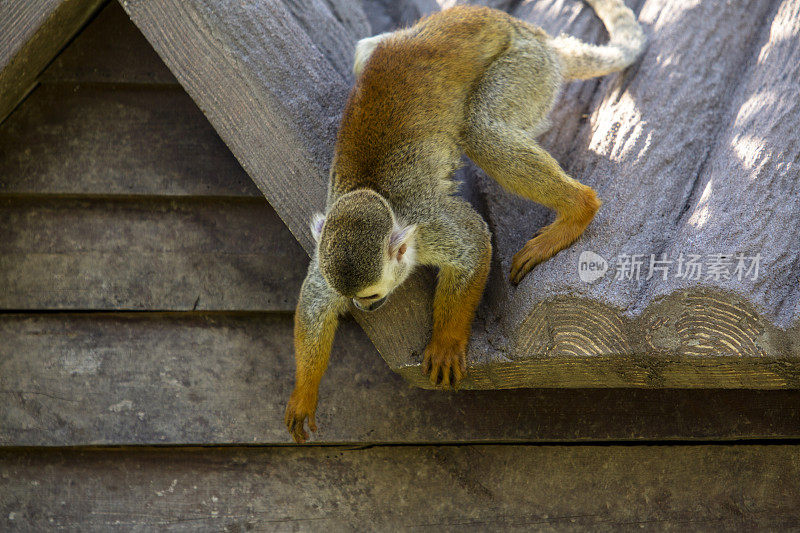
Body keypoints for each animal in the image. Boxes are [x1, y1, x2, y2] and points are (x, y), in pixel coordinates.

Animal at [284, 0, 648, 440]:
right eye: (355, 296)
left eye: (370, 295)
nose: (361, 308)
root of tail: (533, 35)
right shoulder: (326, 258)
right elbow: (314, 302)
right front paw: (304, 393)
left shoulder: (429, 225)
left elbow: (474, 244)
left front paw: (445, 343)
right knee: (368, 52)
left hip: (528, 68)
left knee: (480, 131)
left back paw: (578, 209)